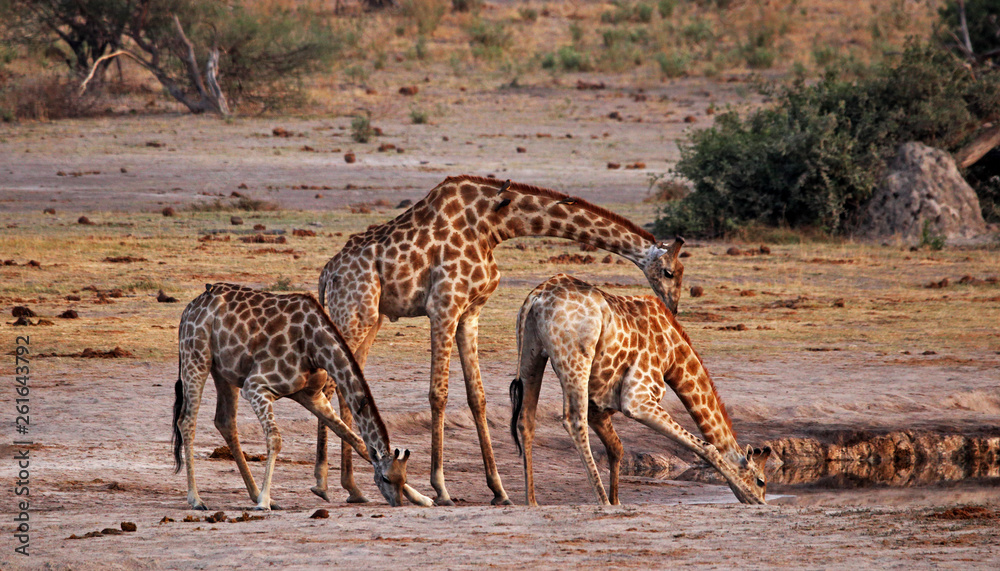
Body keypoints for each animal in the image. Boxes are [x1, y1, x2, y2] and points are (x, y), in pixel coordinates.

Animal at [171, 283, 433, 510]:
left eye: (403, 477)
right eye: (386, 479)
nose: (396, 503)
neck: (314, 346)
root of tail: (190, 308)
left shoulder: (312, 396)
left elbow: (356, 440)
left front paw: (423, 498)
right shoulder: (256, 386)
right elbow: (275, 439)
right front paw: (264, 502)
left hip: (225, 371)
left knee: (225, 421)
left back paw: (255, 494)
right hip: (197, 356)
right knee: (187, 421)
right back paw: (197, 499)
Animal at [315, 175, 685, 506]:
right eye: (669, 272)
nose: (673, 307)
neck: (494, 224)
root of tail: (327, 274)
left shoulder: (469, 313)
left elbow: (477, 397)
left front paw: (499, 490)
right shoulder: (443, 307)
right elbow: (438, 394)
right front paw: (442, 489)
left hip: (370, 318)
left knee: (346, 387)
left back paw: (352, 488)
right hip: (353, 314)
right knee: (327, 386)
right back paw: (322, 484)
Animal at [509, 273, 771, 506]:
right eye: (761, 481)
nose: (762, 499)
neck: (674, 357)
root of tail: (537, 296)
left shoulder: (599, 405)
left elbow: (617, 448)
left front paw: (617, 500)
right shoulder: (637, 399)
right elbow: (708, 448)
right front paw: (750, 497)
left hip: (532, 352)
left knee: (526, 420)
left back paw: (532, 502)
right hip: (575, 358)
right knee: (573, 421)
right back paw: (601, 501)